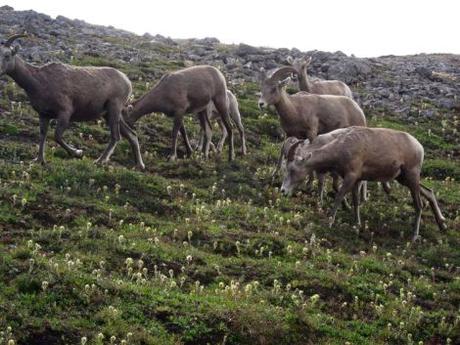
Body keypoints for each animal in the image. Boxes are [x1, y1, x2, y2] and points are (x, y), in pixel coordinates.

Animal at [0, 32, 144, 168]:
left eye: (7, 55)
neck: (38, 82)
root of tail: (128, 82)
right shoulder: (44, 115)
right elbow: (43, 135)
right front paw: (39, 160)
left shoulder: (65, 112)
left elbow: (57, 136)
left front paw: (77, 152)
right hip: (109, 114)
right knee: (132, 134)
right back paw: (139, 165)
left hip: (114, 108)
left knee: (116, 136)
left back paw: (100, 161)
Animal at [280, 125, 446, 241]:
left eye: (292, 169)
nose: (283, 191)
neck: (344, 145)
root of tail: (419, 147)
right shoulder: (356, 180)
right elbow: (355, 201)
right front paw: (357, 226)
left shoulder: (351, 176)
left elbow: (339, 196)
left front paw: (329, 222)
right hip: (404, 179)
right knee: (429, 192)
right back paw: (442, 224)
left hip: (411, 177)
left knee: (419, 205)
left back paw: (414, 236)